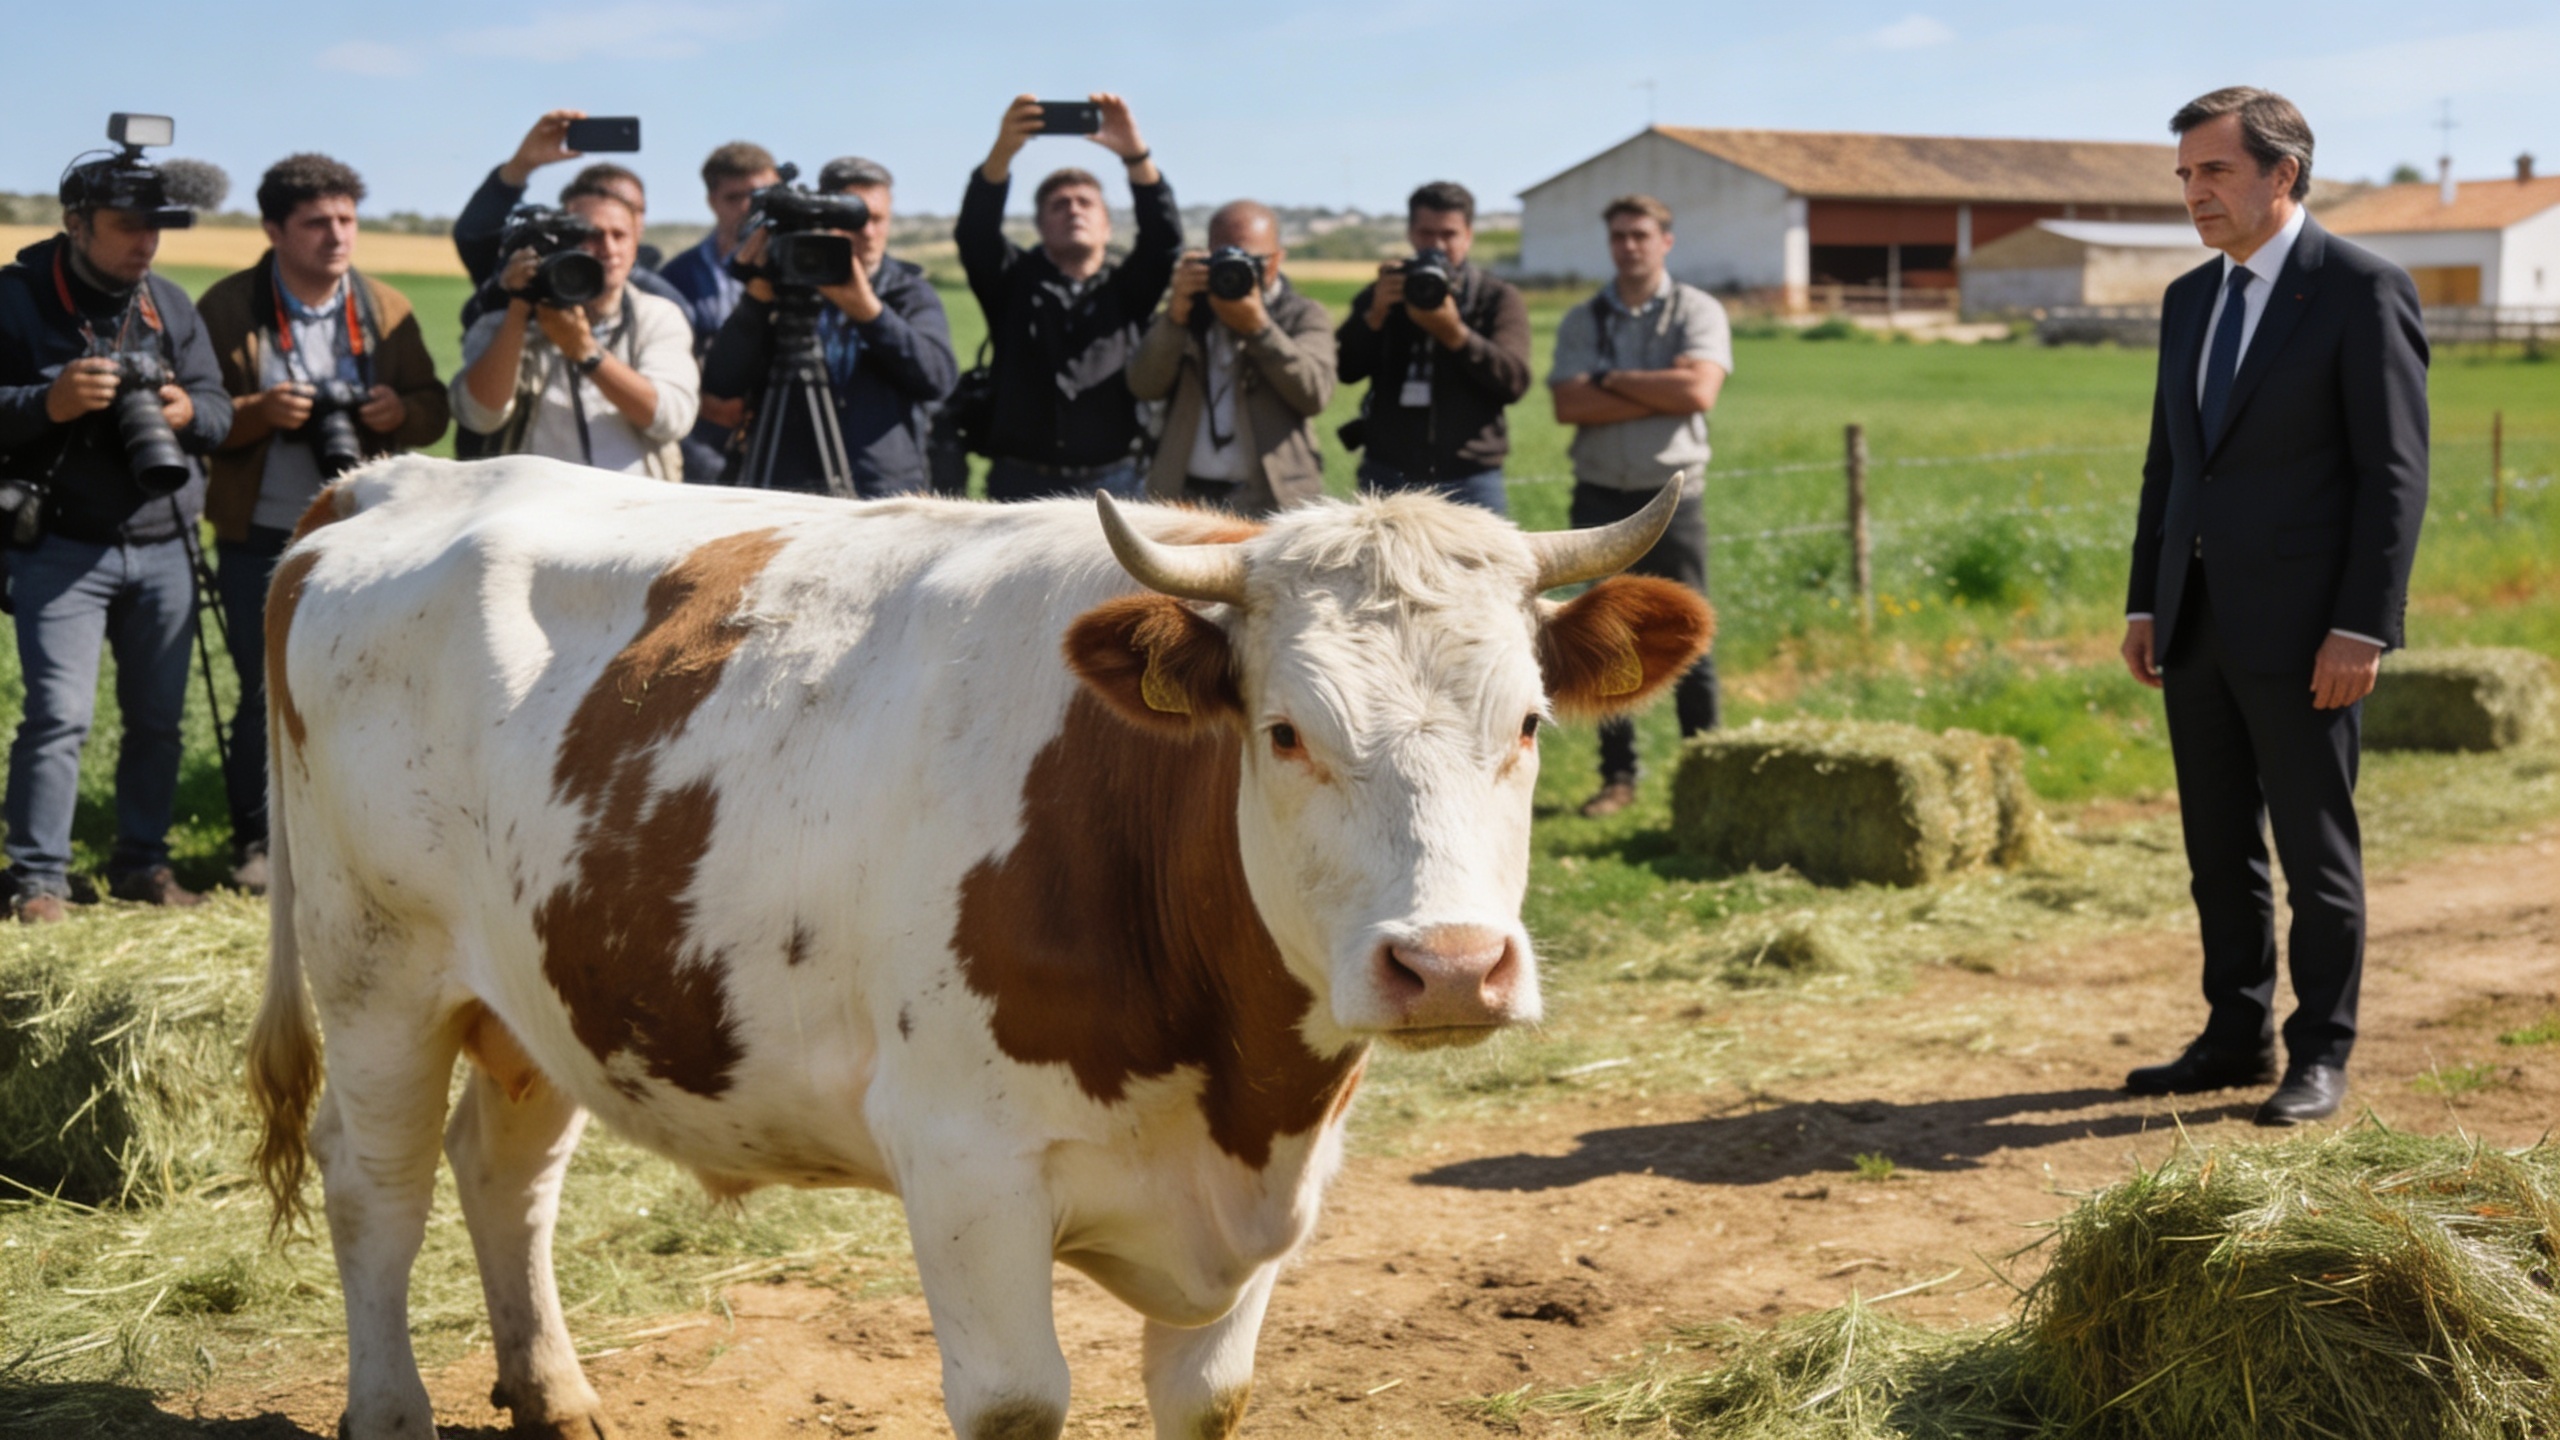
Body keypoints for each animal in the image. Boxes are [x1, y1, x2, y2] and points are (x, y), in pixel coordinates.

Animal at [246, 455, 1712, 1440]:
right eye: (1287, 731)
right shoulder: (963, 1165)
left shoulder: (1261, 1195)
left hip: (540, 985)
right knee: (375, 1184)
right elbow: (1016, 1401)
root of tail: (395, 480)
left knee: (505, 1173)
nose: (1451, 964)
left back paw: (554, 1395)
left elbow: (1208, 1396)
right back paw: (392, 1410)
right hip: (378, 969)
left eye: (1527, 723)